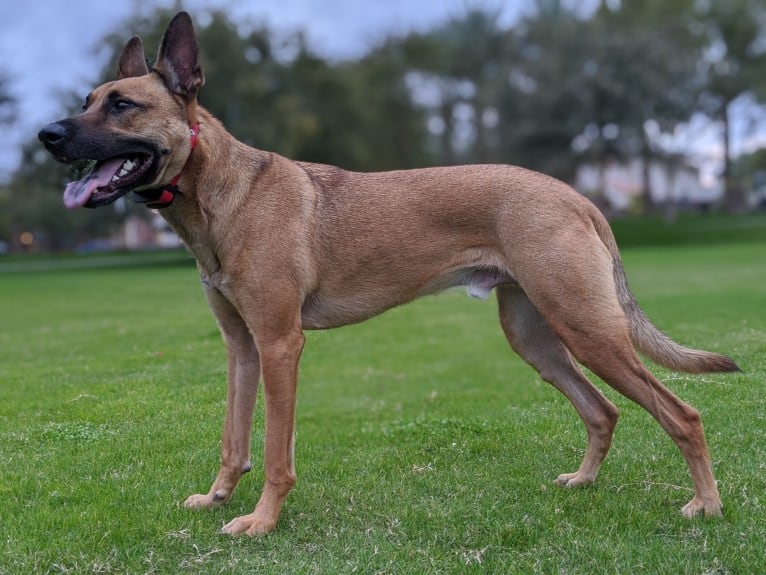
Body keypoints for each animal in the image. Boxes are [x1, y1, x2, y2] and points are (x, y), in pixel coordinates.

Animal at [39, 12, 740, 536]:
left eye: (122, 105)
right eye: (86, 102)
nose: (46, 135)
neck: (222, 191)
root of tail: (577, 196)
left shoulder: (280, 345)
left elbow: (275, 453)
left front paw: (262, 522)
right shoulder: (241, 347)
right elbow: (233, 441)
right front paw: (217, 499)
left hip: (590, 330)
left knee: (682, 415)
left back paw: (705, 505)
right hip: (537, 337)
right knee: (603, 412)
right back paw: (585, 482)